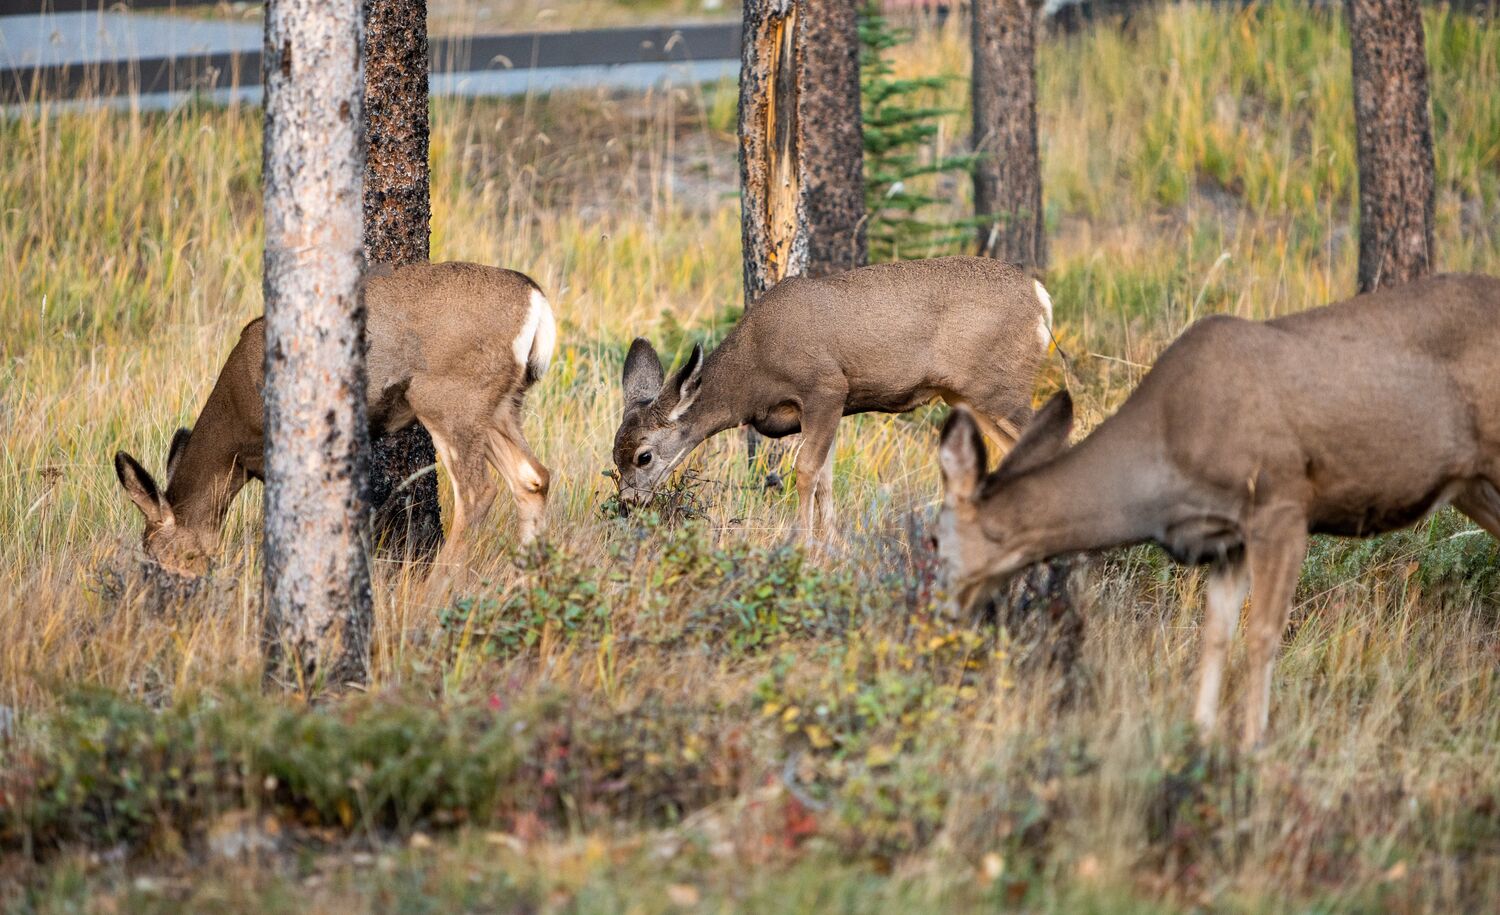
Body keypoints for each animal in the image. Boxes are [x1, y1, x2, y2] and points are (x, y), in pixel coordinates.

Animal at [113, 261, 557, 578]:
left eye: (155, 553)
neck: (235, 430)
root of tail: (536, 301)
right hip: (500, 405)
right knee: (533, 476)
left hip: (449, 398)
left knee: (479, 492)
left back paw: (433, 595)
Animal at [612, 256, 1056, 535]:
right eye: (615, 456)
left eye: (643, 456)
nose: (629, 504)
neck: (754, 373)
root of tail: (1040, 297)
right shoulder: (825, 410)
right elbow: (825, 477)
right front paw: (831, 547)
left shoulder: (825, 388)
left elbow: (806, 471)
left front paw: (804, 546)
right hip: (969, 397)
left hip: (1002, 388)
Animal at [936, 272, 1500, 750]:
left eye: (934, 540)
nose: (935, 610)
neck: (1167, 455)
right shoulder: (1228, 539)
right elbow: (1214, 635)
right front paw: (1200, 737)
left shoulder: (1281, 505)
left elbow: (1263, 636)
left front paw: (1252, 748)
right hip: (1473, 485)